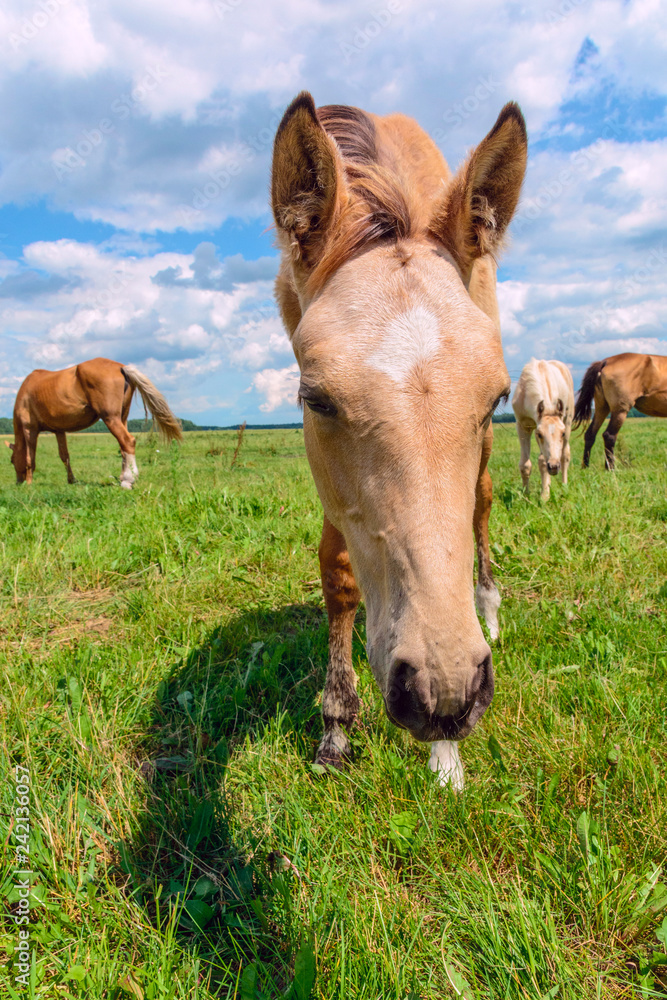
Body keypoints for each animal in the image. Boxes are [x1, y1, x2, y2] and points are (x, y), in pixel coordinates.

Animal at [8, 358, 182, 487]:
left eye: (11, 460)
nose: (18, 482)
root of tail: (121, 368)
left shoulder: (29, 429)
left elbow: (30, 457)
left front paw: (29, 482)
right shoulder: (59, 431)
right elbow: (65, 456)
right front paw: (72, 480)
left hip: (110, 418)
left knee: (127, 441)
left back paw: (127, 480)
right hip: (122, 418)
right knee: (123, 447)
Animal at [271, 93, 527, 788]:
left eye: (495, 399)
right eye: (315, 398)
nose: (445, 693)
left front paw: (447, 760)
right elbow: (339, 573)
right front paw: (336, 727)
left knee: (481, 505)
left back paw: (488, 607)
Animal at [511, 359, 574, 500]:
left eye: (562, 433)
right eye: (540, 434)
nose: (554, 467)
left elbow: (543, 462)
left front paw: (544, 497)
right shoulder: (523, 426)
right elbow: (525, 464)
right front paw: (526, 495)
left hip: (568, 419)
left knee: (565, 455)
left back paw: (564, 487)